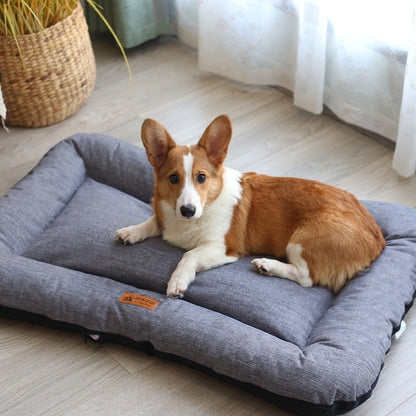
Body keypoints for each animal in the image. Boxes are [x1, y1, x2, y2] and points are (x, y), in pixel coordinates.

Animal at [115, 114, 386, 296]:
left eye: (201, 177)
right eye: (173, 178)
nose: (188, 210)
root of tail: (379, 240)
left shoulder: (222, 248)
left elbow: (189, 255)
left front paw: (177, 281)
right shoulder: (165, 216)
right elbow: (152, 221)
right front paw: (131, 231)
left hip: (301, 240)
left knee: (305, 278)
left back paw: (268, 266)